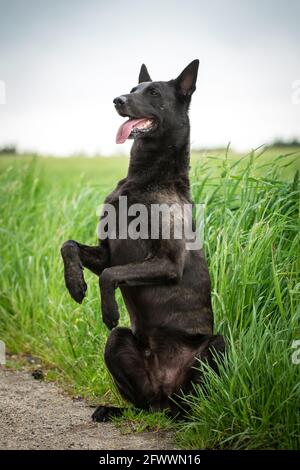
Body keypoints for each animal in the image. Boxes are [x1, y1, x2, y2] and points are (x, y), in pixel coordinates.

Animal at [61, 60, 225, 420]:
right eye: (132, 88)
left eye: (153, 93)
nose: (117, 100)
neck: (145, 177)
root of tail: (166, 395)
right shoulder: (107, 253)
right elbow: (70, 246)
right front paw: (75, 285)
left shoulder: (167, 263)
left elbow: (110, 275)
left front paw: (108, 310)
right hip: (117, 345)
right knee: (144, 404)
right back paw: (113, 411)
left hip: (217, 346)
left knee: (190, 404)